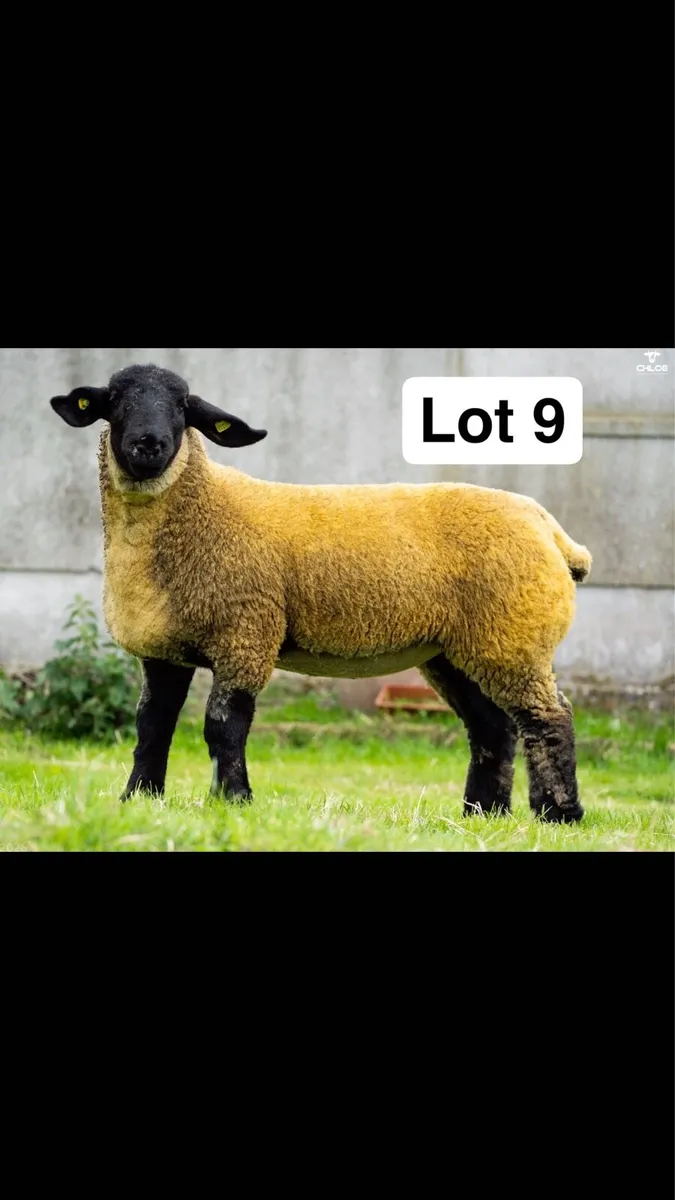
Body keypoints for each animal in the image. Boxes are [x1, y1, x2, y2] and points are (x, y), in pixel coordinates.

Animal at [50, 362, 592, 823]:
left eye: (184, 406)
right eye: (116, 399)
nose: (150, 444)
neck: (202, 509)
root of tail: (550, 529)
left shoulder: (246, 635)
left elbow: (224, 724)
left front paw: (233, 800)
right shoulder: (164, 651)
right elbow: (152, 725)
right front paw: (138, 798)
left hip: (515, 637)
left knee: (548, 718)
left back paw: (558, 814)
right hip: (458, 650)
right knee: (492, 727)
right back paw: (483, 814)